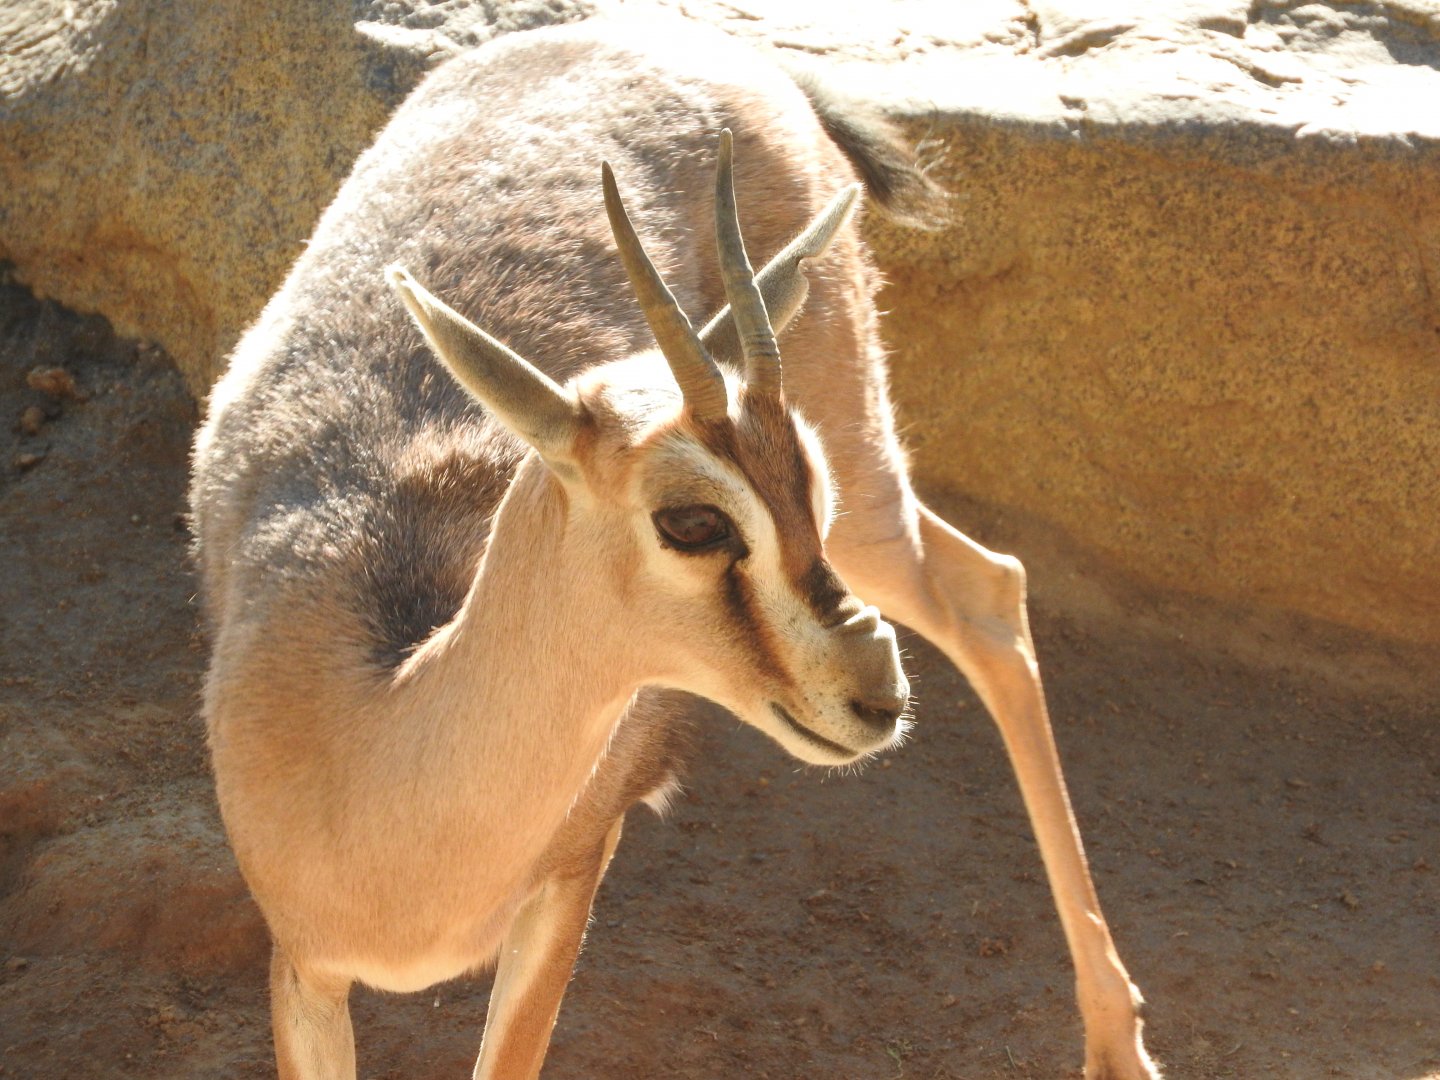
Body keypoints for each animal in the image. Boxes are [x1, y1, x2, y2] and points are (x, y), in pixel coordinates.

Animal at [190, 16, 1161, 1080]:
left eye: (804, 486)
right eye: (691, 521)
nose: (876, 698)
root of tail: (678, 34)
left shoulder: (568, 886)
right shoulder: (303, 972)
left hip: (870, 500)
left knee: (987, 592)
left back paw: (1118, 1040)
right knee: (991, 583)